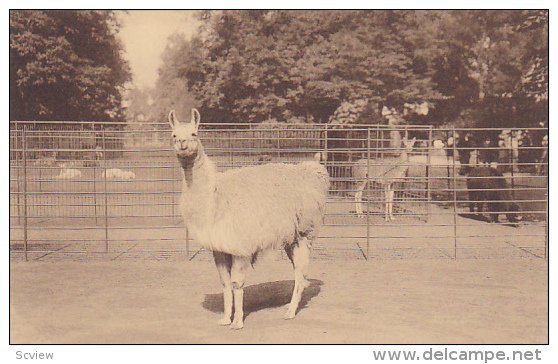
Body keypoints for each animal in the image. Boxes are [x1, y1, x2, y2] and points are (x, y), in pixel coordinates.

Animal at [168, 108, 330, 330]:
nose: (182, 143)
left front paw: (237, 322)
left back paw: (290, 311)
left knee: (300, 272)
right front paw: (225, 318)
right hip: (290, 236)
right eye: (174, 135)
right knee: (299, 270)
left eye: (194, 133)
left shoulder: (240, 245)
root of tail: (312, 171)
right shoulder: (219, 246)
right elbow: (225, 282)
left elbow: (237, 283)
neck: (215, 197)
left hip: (305, 231)